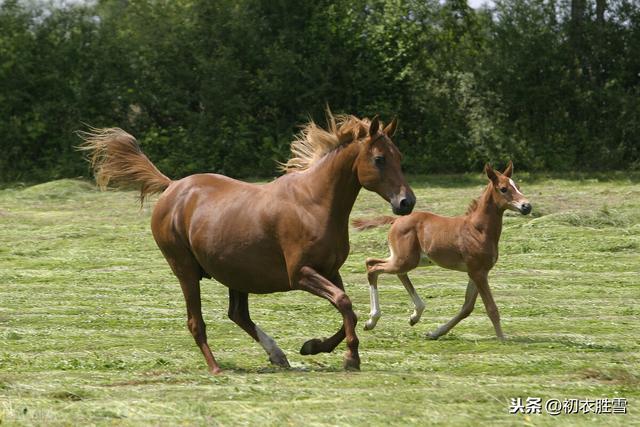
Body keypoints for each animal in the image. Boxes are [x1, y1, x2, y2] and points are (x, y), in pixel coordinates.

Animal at [79, 113, 416, 374]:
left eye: (400, 158)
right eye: (379, 159)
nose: (406, 202)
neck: (314, 203)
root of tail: (172, 187)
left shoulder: (330, 271)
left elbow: (348, 309)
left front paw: (314, 346)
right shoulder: (300, 274)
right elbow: (345, 304)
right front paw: (350, 357)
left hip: (236, 272)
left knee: (238, 314)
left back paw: (277, 355)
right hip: (186, 271)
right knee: (196, 322)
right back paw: (216, 367)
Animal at [352, 163, 528, 342]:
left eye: (518, 187)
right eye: (503, 189)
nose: (527, 206)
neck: (478, 229)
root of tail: (396, 220)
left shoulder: (478, 272)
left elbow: (467, 307)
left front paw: (434, 333)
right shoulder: (478, 272)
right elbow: (491, 308)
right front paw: (502, 339)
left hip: (409, 259)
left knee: (381, 266)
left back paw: (414, 316)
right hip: (404, 260)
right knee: (373, 267)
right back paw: (372, 321)